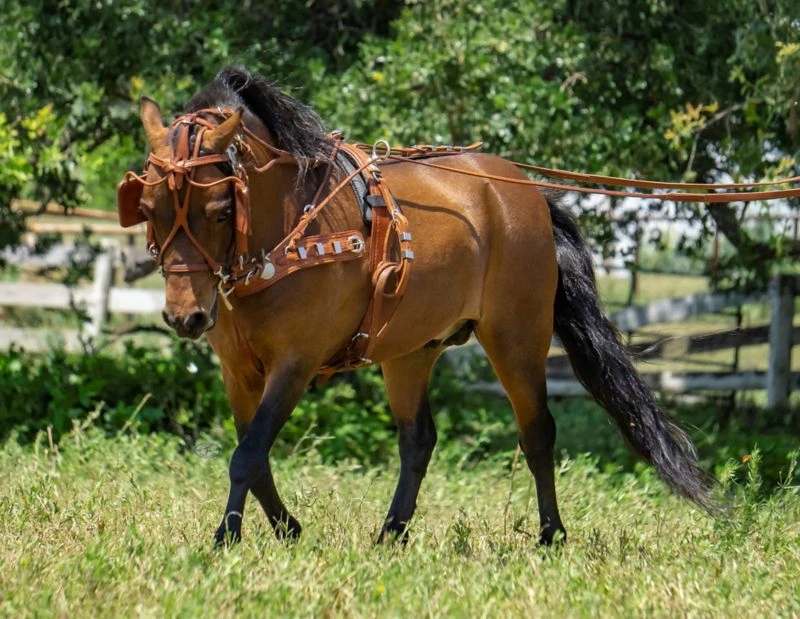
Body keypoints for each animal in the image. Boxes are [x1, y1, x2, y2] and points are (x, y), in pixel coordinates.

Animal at [118, 66, 717, 547]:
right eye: (146, 206)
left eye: (220, 209)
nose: (185, 317)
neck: (289, 229)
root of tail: (523, 191)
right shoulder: (238, 371)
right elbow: (254, 455)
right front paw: (286, 530)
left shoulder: (295, 363)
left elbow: (247, 455)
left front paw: (225, 539)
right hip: (409, 352)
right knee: (418, 441)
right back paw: (393, 532)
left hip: (516, 337)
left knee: (537, 432)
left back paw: (551, 535)